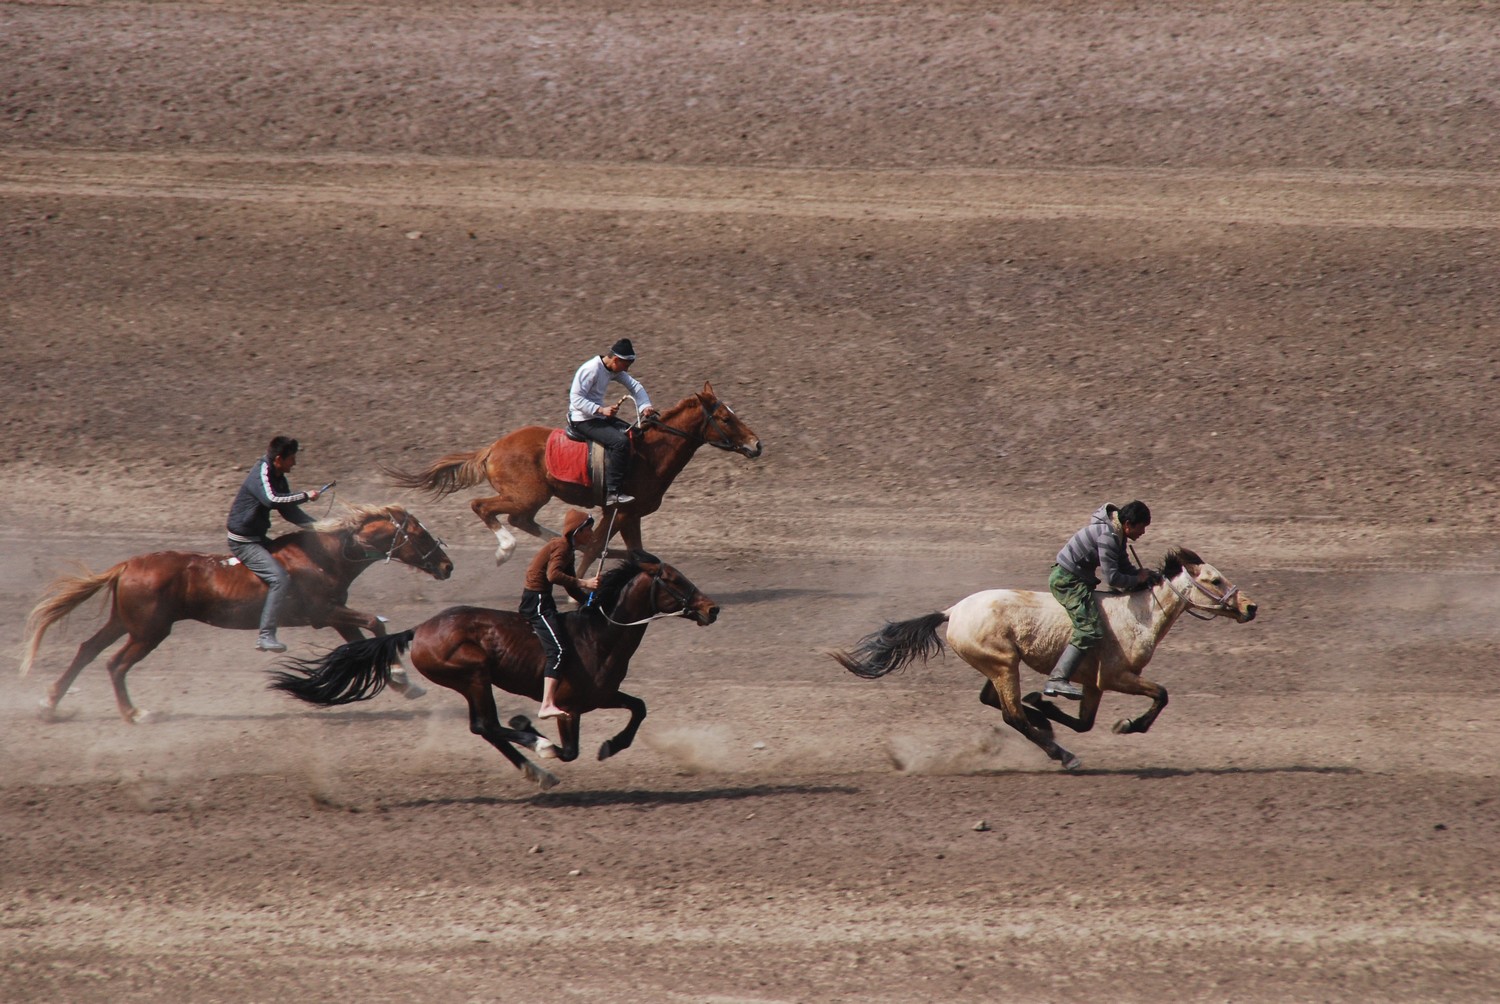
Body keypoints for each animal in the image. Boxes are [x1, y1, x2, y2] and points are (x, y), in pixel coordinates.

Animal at [19, 504, 450, 723]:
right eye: (420, 534)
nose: (447, 566)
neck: (326, 555)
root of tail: (127, 565)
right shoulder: (327, 611)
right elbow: (375, 623)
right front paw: (402, 678)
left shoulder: (333, 615)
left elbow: (363, 643)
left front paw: (405, 684)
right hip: (148, 632)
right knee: (115, 664)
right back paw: (134, 712)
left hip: (123, 622)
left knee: (86, 650)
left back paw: (49, 705)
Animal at [270, 552, 720, 786]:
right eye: (675, 579)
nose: (711, 608)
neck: (599, 636)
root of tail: (419, 629)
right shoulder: (569, 706)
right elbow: (569, 750)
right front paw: (543, 737)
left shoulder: (602, 696)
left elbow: (639, 707)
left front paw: (612, 745)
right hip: (473, 675)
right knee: (486, 726)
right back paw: (536, 753)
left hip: (473, 681)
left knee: (485, 728)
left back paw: (536, 766)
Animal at [387, 384, 762, 567]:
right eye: (725, 418)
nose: (756, 444)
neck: (648, 453)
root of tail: (492, 448)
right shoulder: (619, 509)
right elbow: (598, 547)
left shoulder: (631, 514)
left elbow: (636, 552)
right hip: (527, 495)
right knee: (484, 507)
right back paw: (506, 549)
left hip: (531, 499)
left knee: (521, 520)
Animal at [828, 549, 1260, 768]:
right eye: (1214, 579)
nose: (1251, 607)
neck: (1138, 614)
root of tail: (952, 611)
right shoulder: (1116, 678)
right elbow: (1162, 694)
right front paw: (1127, 725)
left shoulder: (1092, 684)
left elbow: (1084, 722)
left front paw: (1047, 704)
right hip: (1004, 665)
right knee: (1011, 715)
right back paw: (1062, 754)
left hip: (1000, 665)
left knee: (996, 702)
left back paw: (1044, 723)